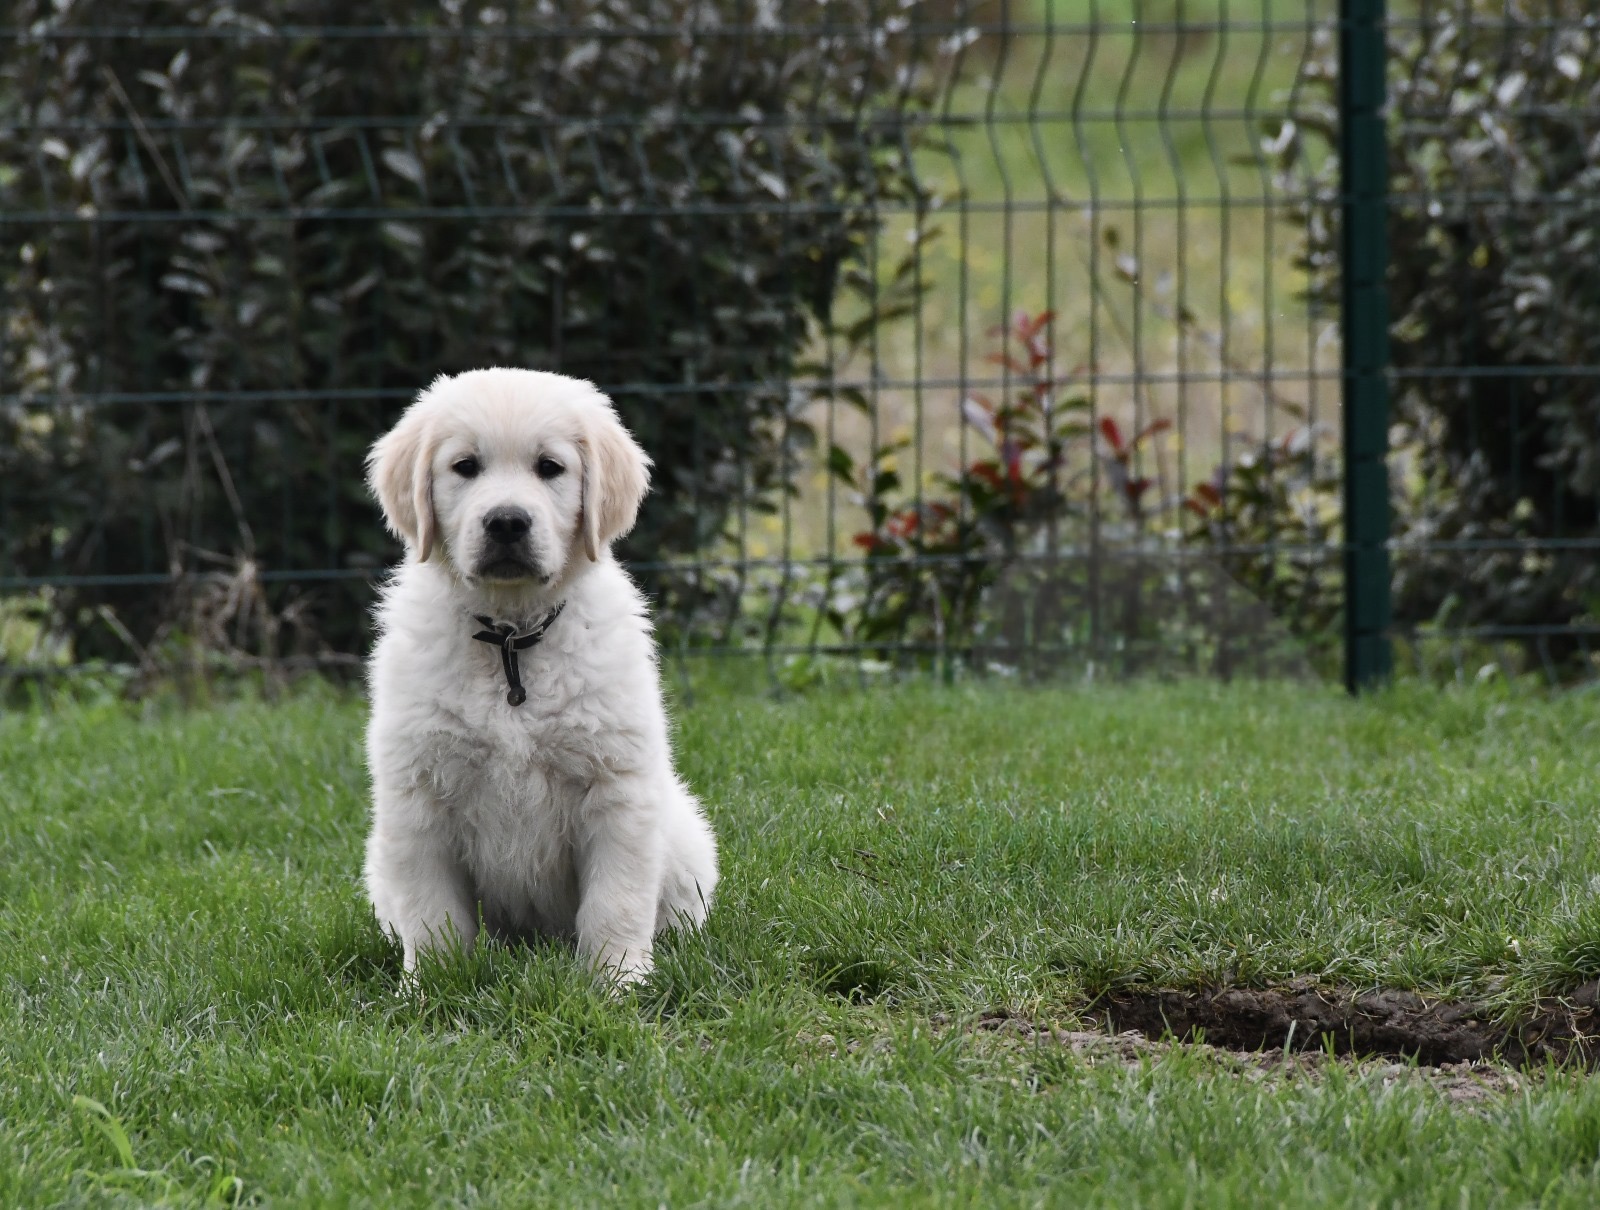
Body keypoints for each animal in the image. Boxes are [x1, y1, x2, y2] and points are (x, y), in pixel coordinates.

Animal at [363, 366, 720, 985]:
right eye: (465, 467)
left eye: (550, 467)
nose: (507, 521)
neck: (512, 640)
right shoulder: (419, 795)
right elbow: (432, 912)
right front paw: (432, 986)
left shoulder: (616, 788)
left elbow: (615, 899)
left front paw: (617, 980)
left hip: (685, 839)